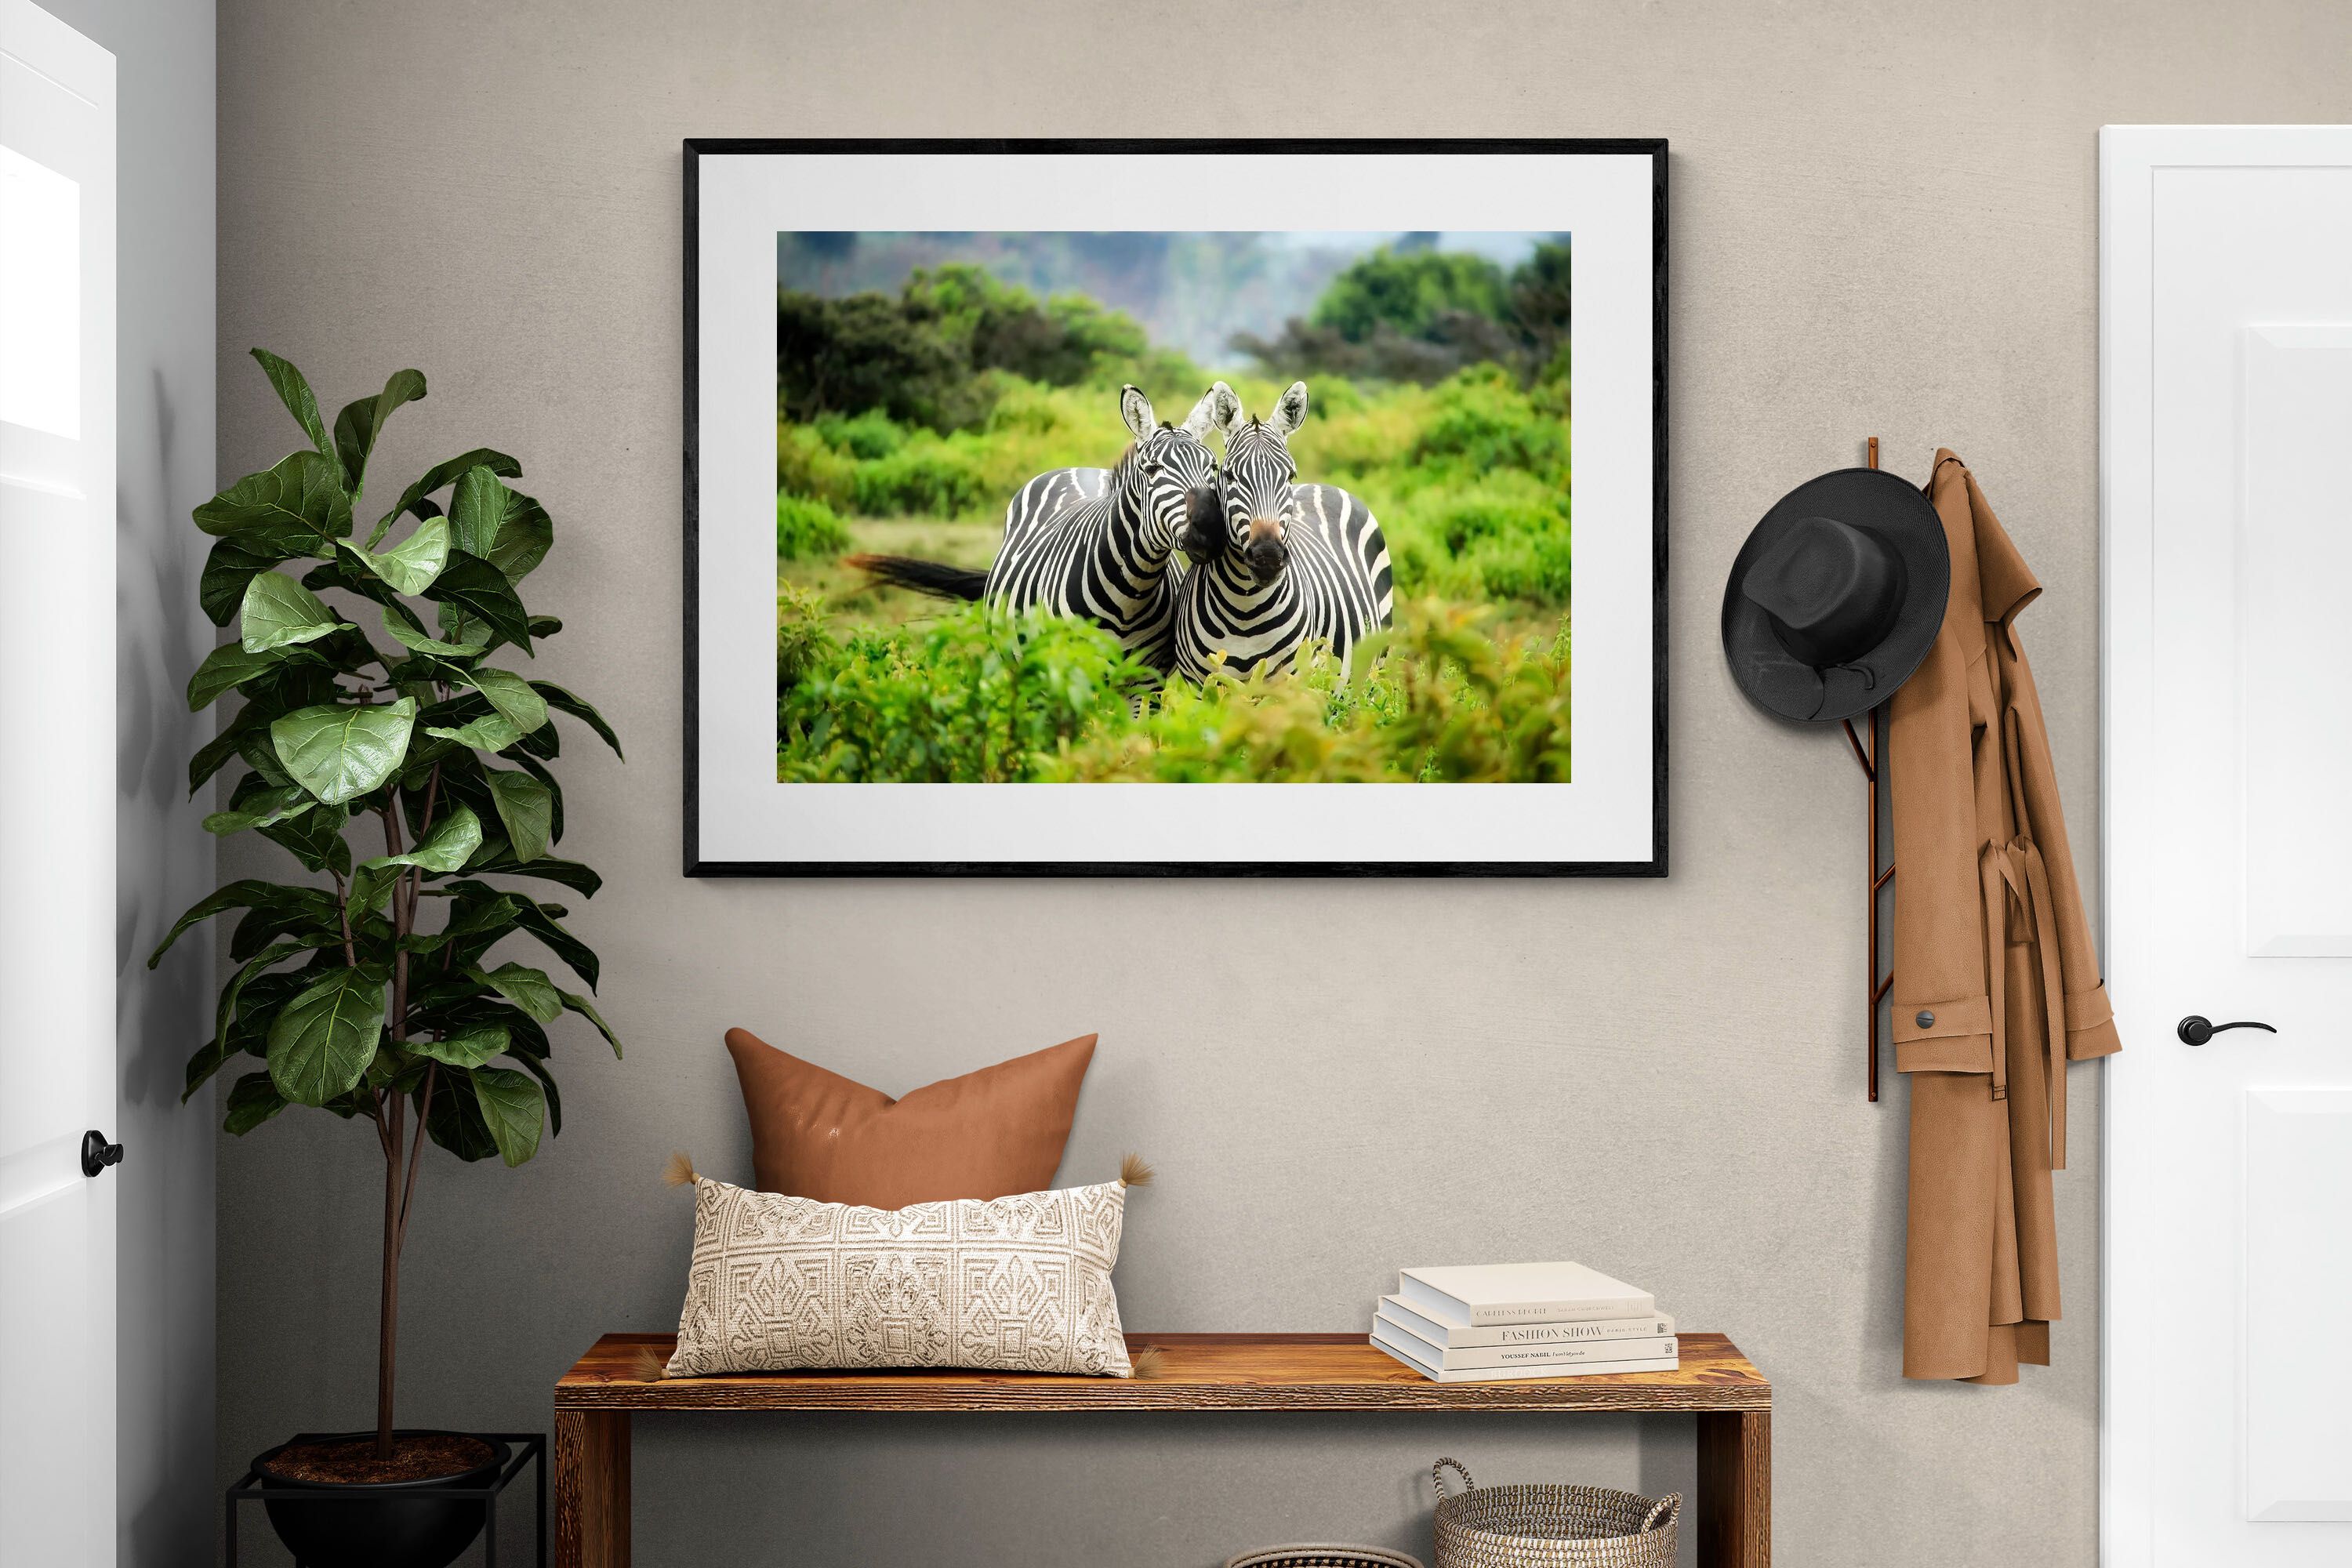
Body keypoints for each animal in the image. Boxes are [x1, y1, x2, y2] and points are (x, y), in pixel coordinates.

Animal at [851, 384, 1231, 676]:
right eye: (1152, 470)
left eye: (1213, 467)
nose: (1212, 530)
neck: (1131, 593)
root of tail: (1078, 468)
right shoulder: (1070, 670)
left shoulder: (1146, 680)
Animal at [1168, 380, 1394, 683]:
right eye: (1228, 475)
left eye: (1290, 475)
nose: (1267, 557)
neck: (1244, 609)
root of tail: (1324, 485)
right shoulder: (1203, 684)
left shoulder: (1290, 682)